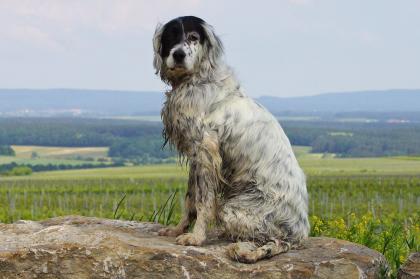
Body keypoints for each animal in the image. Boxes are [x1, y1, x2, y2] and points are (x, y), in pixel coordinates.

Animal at [152, 15, 308, 264]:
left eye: (193, 38)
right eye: (171, 36)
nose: (178, 54)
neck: (198, 80)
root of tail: (300, 232)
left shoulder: (206, 153)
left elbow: (203, 202)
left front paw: (196, 237)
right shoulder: (196, 157)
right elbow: (190, 200)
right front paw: (178, 229)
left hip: (234, 210)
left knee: (272, 241)